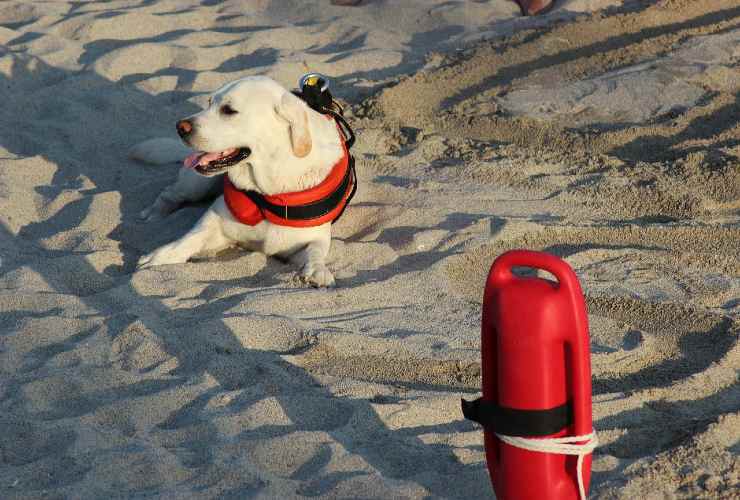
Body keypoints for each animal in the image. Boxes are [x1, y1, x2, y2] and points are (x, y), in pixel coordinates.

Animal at [132, 74, 352, 288]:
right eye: (209, 102)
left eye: (229, 110)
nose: (180, 127)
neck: (267, 190)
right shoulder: (216, 219)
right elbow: (190, 237)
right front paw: (159, 256)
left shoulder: (312, 238)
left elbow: (316, 251)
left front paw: (316, 271)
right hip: (196, 184)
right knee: (170, 193)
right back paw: (155, 213)